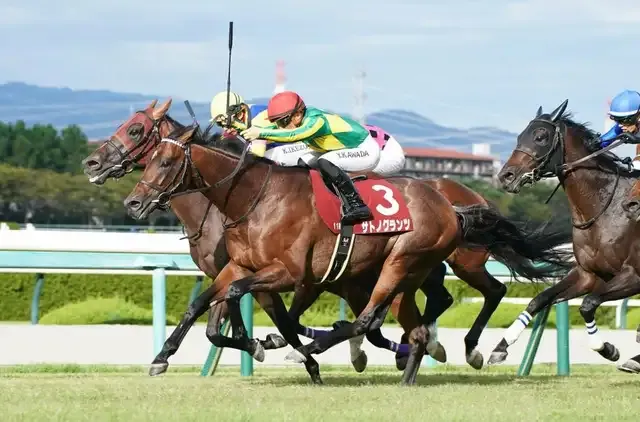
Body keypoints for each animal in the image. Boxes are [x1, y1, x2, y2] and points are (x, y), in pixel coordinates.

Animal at [81, 99, 544, 372]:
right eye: (148, 155)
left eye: (137, 131)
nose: (91, 163)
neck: (250, 197)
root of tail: (454, 203)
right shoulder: (236, 268)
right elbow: (207, 311)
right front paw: (164, 356)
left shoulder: (288, 274)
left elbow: (256, 311)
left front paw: (271, 346)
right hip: (406, 270)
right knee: (415, 309)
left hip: (428, 261)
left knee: (477, 294)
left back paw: (460, 348)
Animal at [490, 99, 640, 370]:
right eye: (519, 136)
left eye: (540, 136)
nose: (506, 176)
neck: (605, 208)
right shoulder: (588, 275)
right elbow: (540, 299)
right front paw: (500, 347)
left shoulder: (634, 274)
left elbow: (588, 305)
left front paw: (608, 349)